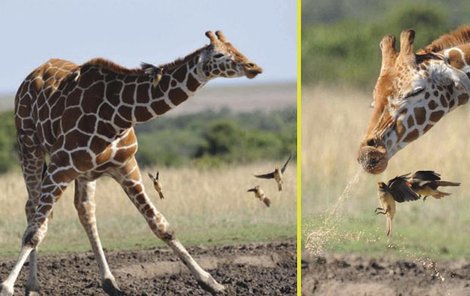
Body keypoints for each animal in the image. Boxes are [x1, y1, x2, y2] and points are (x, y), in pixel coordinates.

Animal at [0, 30, 260, 296]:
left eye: (236, 48)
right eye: (219, 54)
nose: (253, 67)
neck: (118, 115)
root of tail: (31, 76)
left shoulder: (126, 166)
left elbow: (161, 225)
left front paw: (211, 282)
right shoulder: (60, 166)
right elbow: (34, 233)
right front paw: (7, 287)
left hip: (83, 172)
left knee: (85, 211)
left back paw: (109, 281)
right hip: (30, 147)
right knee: (32, 209)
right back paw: (33, 285)